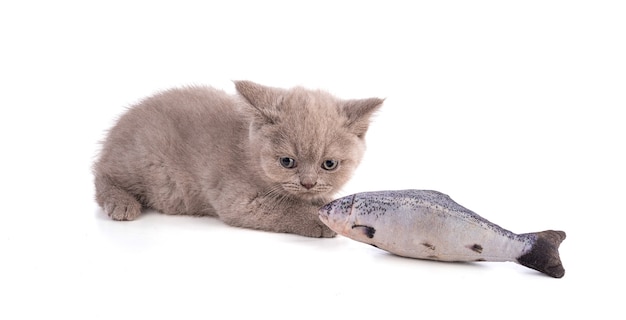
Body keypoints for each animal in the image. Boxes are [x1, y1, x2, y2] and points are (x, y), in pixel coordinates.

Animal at [93, 82, 382, 238]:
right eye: (286, 161)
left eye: (329, 164)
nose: (308, 183)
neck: (249, 152)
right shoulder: (240, 201)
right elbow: (286, 208)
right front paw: (317, 220)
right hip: (143, 163)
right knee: (101, 175)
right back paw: (121, 203)